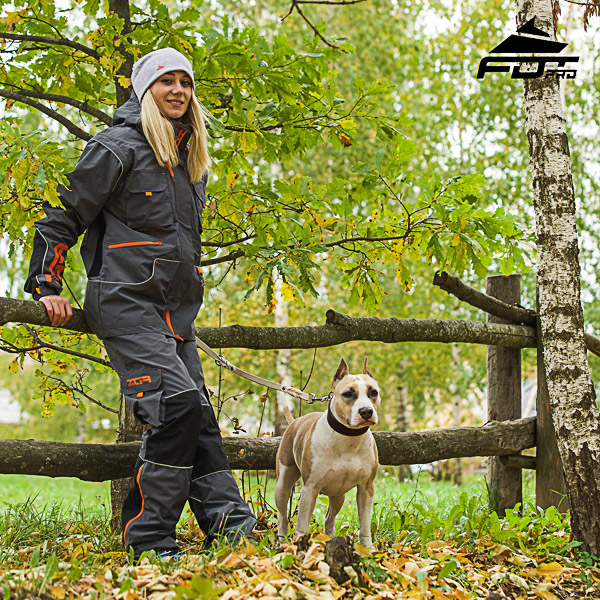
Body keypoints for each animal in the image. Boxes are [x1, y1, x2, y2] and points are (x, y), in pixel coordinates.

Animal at [274, 356, 378, 548]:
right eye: (348, 394)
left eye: (373, 392)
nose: (366, 411)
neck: (348, 438)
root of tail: (295, 421)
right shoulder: (310, 488)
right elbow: (302, 523)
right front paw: (301, 545)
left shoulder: (366, 488)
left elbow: (365, 523)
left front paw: (367, 548)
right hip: (282, 485)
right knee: (283, 516)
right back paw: (282, 541)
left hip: (338, 495)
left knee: (330, 518)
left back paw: (330, 538)